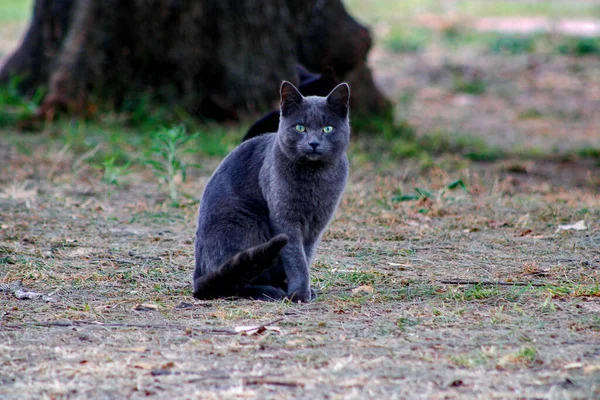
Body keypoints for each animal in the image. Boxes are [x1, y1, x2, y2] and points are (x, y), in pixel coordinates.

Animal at [192, 81, 352, 302]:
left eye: (328, 128)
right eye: (300, 127)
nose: (313, 143)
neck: (316, 178)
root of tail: (197, 274)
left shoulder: (317, 223)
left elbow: (306, 255)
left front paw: (301, 290)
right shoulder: (285, 218)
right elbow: (296, 258)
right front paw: (299, 293)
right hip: (245, 223)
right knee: (230, 283)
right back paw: (269, 291)